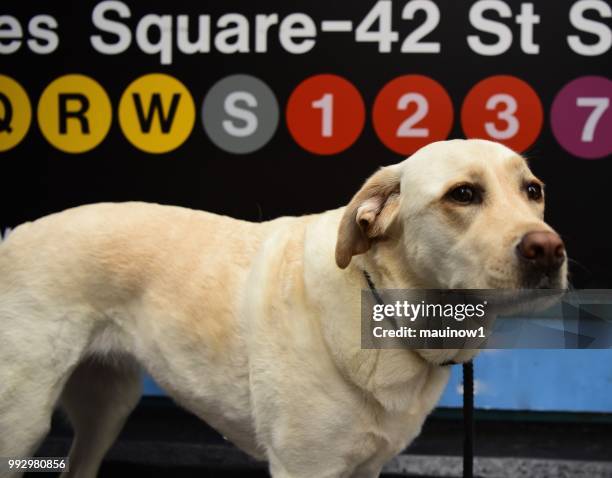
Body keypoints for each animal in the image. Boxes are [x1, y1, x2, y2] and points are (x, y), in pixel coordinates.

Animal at [0, 139, 564, 478]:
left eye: (533, 191)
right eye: (462, 194)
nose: (549, 250)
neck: (385, 314)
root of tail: (16, 232)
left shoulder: (367, 466)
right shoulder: (304, 467)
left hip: (109, 405)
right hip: (21, 423)